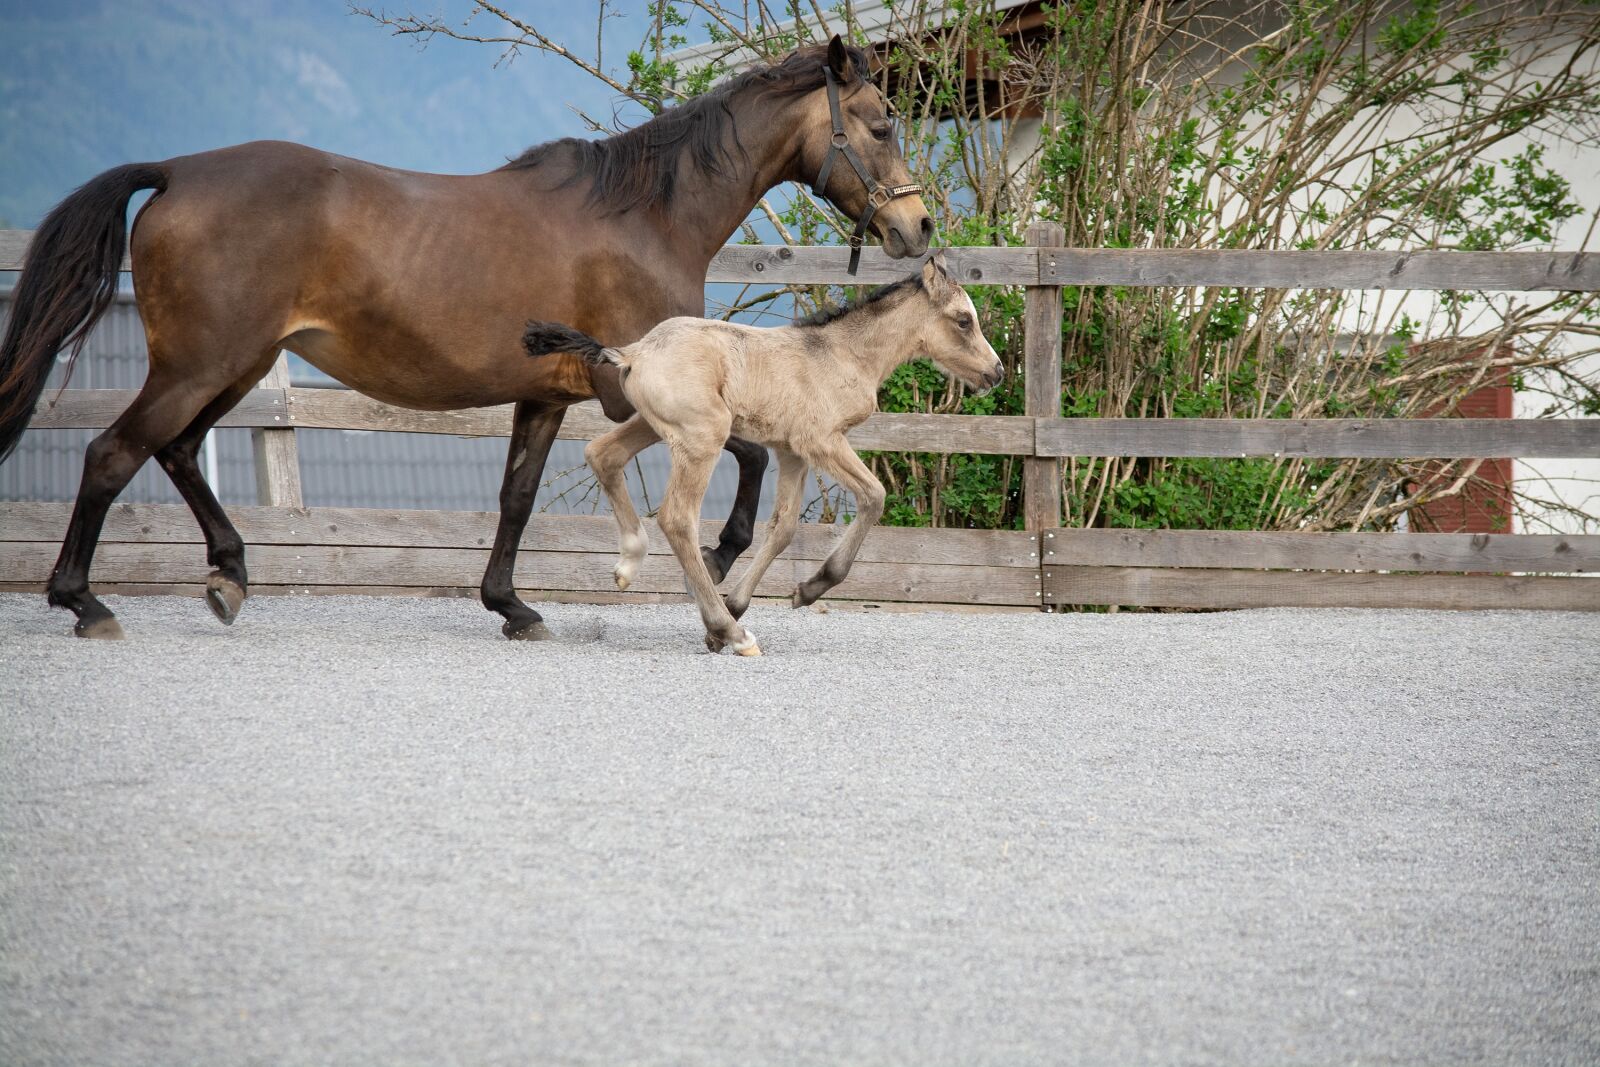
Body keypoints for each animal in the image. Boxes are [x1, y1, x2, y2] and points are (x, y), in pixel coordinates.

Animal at [0, 35, 933, 640]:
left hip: (233, 365)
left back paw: (227, 576)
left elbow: (516, 496)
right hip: (202, 365)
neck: (645, 217)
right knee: (114, 454)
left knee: (176, 451)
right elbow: (744, 461)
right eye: (879, 122)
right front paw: (720, 566)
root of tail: (174, 173)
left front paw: (510, 606)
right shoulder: (630, 388)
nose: (920, 227)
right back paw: (85, 602)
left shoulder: (549, 394)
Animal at [521, 253, 1002, 656]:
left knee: (602, 454)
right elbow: (874, 496)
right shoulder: (821, 441)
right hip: (703, 435)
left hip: (654, 425)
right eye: (963, 320)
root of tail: (634, 351)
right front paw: (808, 589)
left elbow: (784, 528)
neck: (843, 355)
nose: (995, 372)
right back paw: (731, 633)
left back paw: (630, 567)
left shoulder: (793, 453)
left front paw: (741, 603)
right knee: (677, 517)